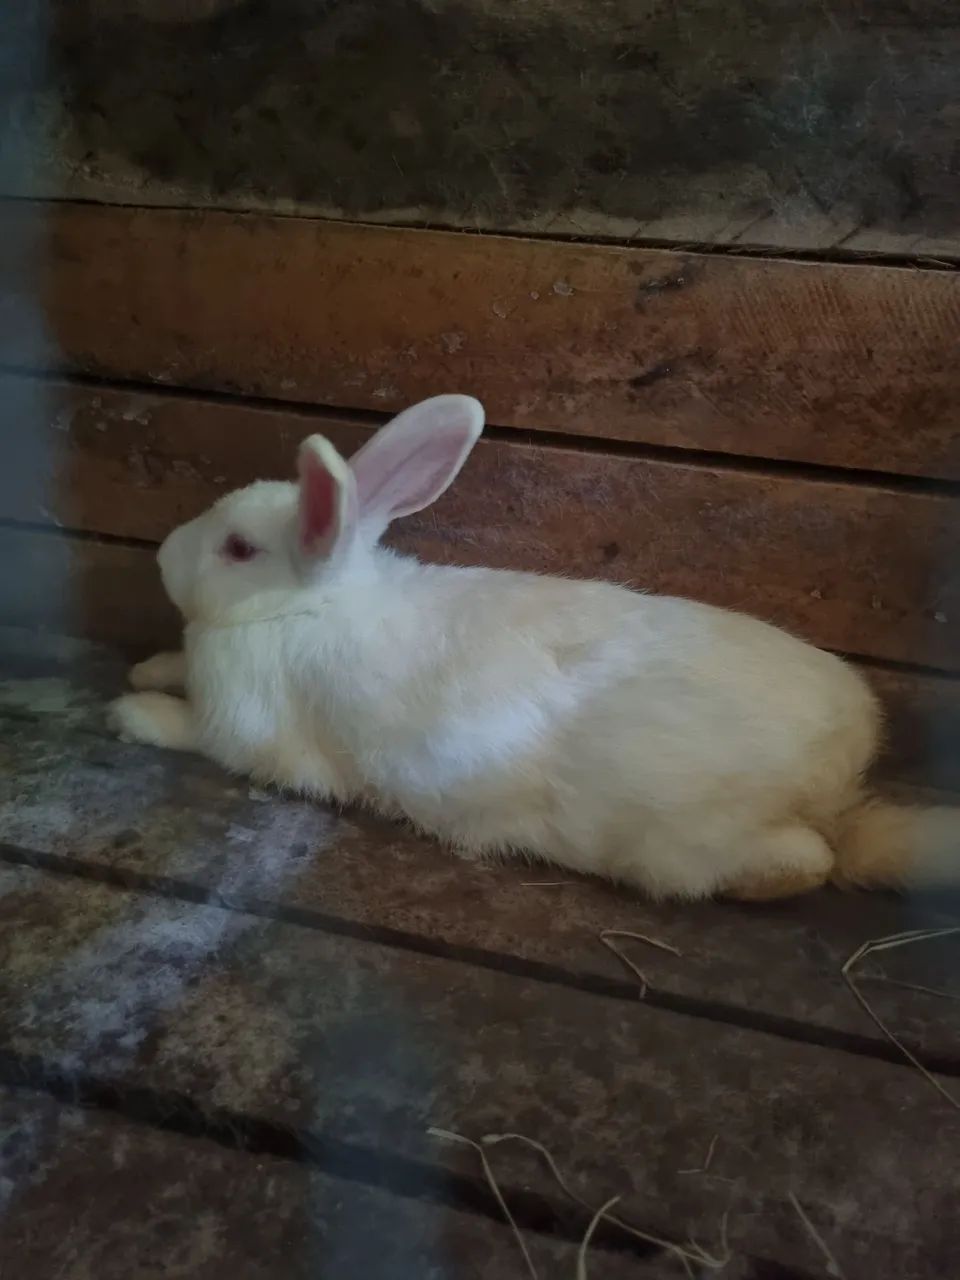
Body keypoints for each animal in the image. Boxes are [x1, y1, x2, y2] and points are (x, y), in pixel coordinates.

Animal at [109, 394, 960, 900]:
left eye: (239, 550)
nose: (163, 557)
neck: (309, 604)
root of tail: (839, 776)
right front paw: (148, 665)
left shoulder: (240, 730)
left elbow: (193, 733)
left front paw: (132, 711)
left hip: (694, 842)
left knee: (809, 861)